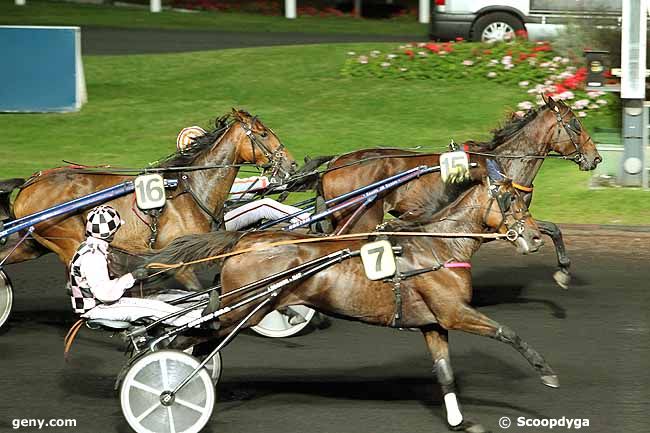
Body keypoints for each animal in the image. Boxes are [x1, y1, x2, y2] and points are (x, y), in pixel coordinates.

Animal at [0, 108, 296, 290]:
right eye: (263, 133)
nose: (290, 163)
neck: (190, 188)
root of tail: (29, 184)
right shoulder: (173, 259)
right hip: (69, 240)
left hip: (34, 243)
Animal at [147, 170, 552, 430]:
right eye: (513, 200)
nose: (535, 235)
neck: (439, 247)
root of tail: (244, 240)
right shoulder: (455, 312)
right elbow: (507, 332)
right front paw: (547, 372)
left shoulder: (434, 323)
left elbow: (445, 373)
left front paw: (459, 421)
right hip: (245, 309)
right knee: (188, 339)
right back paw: (166, 385)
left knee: (203, 340)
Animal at [318, 96, 596, 288]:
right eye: (575, 124)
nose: (595, 158)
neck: (502, 163)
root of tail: (335, 163)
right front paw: (563, 270)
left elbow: (552, 229)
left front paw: (563, 270)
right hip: (362, 217)